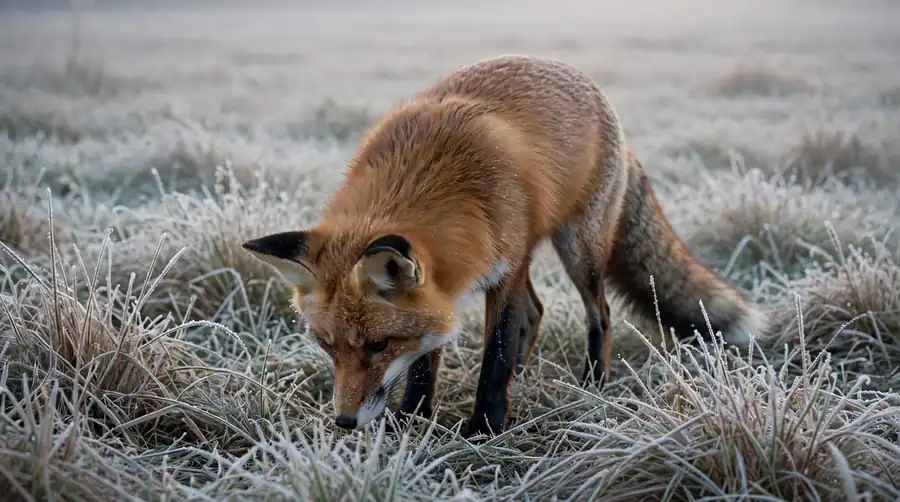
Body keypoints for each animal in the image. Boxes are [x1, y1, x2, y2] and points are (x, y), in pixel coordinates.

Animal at [242, 55, 768, 438]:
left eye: (377, 344)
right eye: (325, 345)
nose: (344, 422)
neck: (431, 176)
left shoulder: (503, 269)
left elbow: (493, 357)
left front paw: (485, 427)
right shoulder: (443, 291)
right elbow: (424, 364)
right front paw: (412, 419)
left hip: (578, 250)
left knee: (598, 313)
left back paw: (591, 383)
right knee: (537, 311)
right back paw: (527, 371)